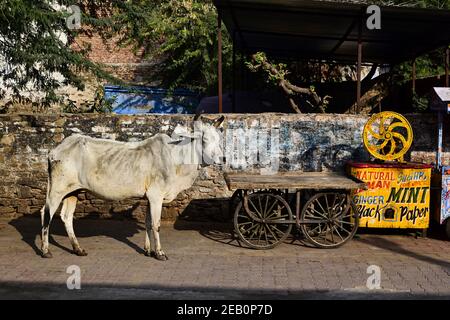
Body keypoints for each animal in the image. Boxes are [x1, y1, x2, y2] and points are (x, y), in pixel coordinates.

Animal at [40, 115, 225, 260]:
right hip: (57, 189)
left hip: (73, 191)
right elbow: (156, 224)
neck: (176, 157)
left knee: (66, 217)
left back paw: (78, 249)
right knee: (46, 213)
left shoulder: (149, 197)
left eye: (219, 139)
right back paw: (45, 250)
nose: (222, 158)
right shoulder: (156, 196)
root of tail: (55, 150)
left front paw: (148, 250)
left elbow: (148, 222)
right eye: (204, 140)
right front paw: (159, 253)